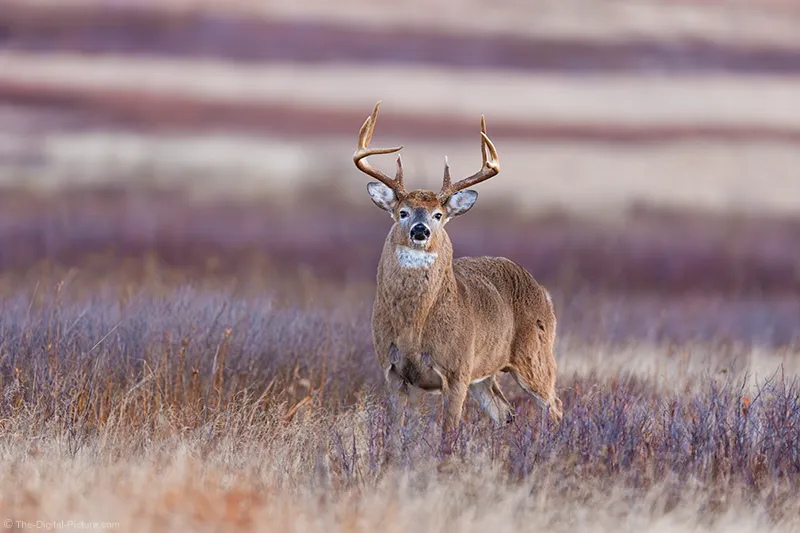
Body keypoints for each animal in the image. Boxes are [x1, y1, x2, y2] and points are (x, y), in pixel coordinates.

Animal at [354, 101, 560, 448]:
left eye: (439, 215)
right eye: (402, 212)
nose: (420, 230)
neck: (414, 329)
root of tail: (544, 292)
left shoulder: (457, 370)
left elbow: (448, 432)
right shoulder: (393, 371)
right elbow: (398, 433)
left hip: (535, 354)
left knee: (555, 406)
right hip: (485, 374)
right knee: (505, 412)